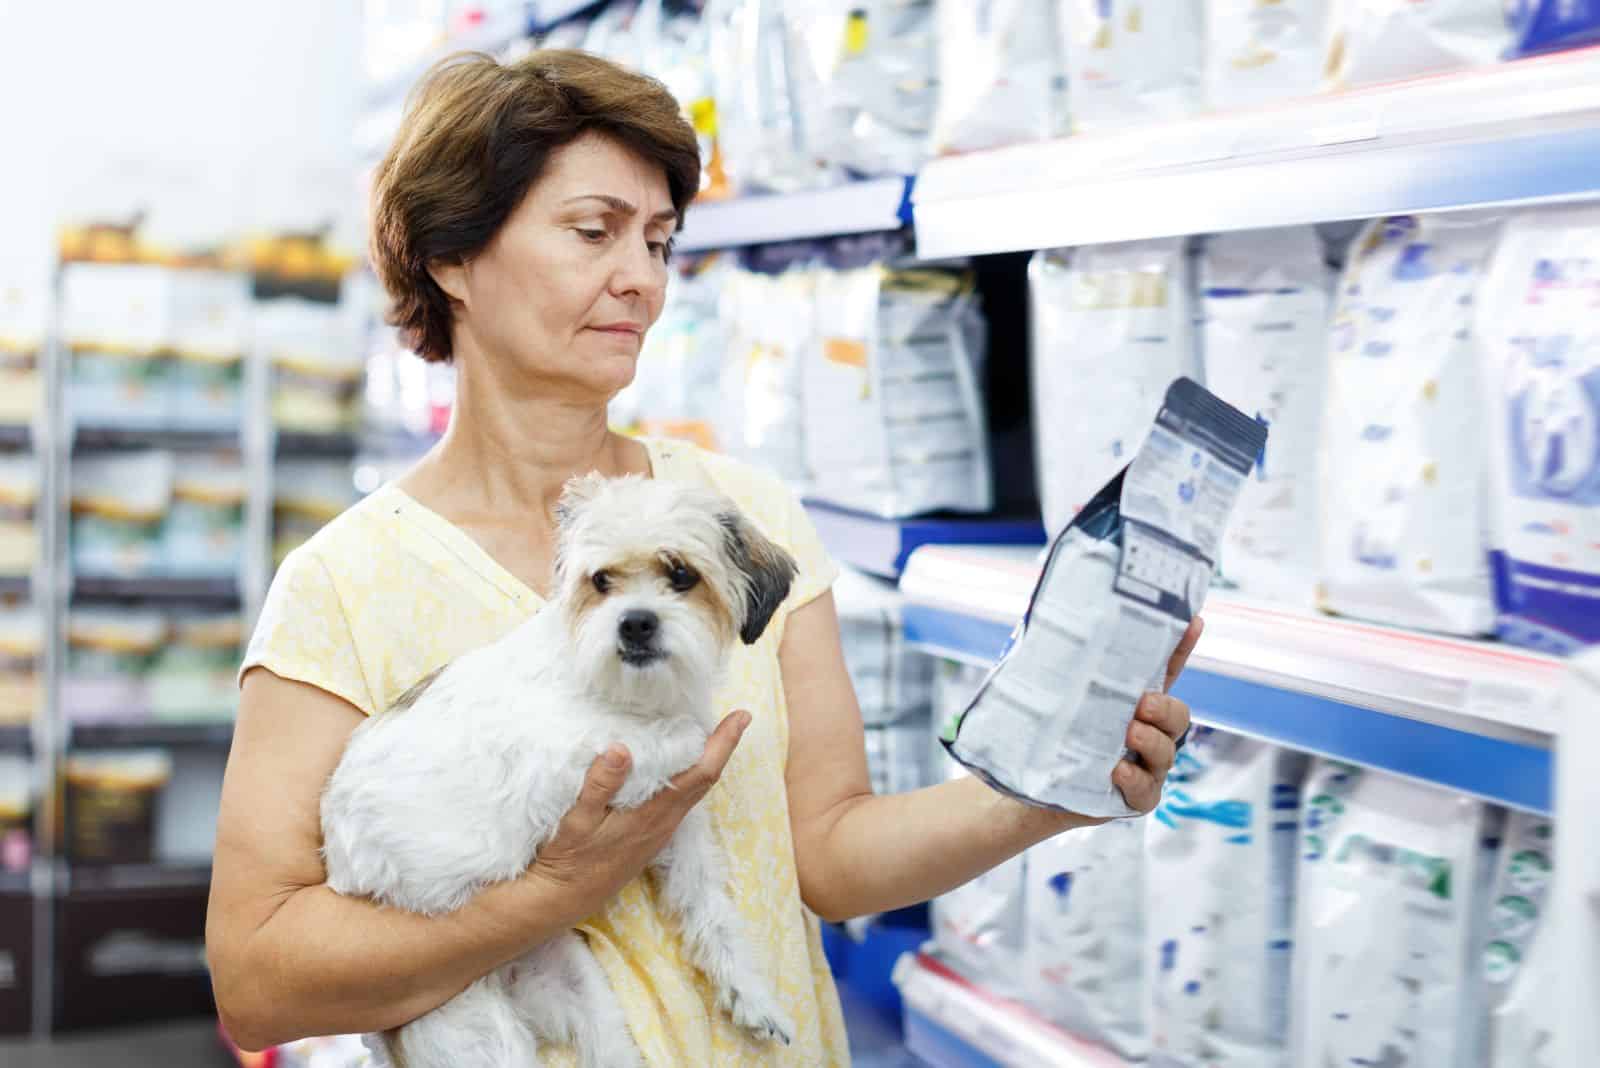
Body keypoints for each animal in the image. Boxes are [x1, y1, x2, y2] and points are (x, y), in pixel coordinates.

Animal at [318, 476, 800, 1068]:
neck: (628, 692)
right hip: (477, 1035)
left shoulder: (679, 832)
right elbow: (668, 740)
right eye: (601, 581)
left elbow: (707, 905)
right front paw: (688, 734)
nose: (635, 622)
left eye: (682, 574)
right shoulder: (565, 767)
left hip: (576, 984)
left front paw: (749, 993)